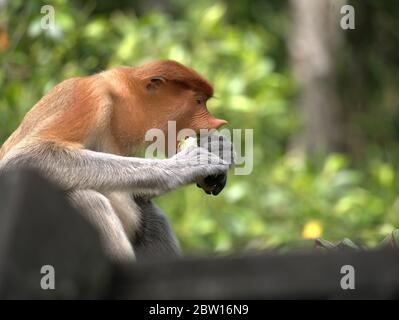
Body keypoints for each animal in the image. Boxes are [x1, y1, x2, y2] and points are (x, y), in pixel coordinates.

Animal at [0, 60, 234, 262]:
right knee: (86, 198)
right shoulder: (89, 98)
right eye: (198, 101)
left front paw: (218, 148)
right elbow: (25, 157)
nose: (218, 123)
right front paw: (187, 164)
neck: (118, 101)